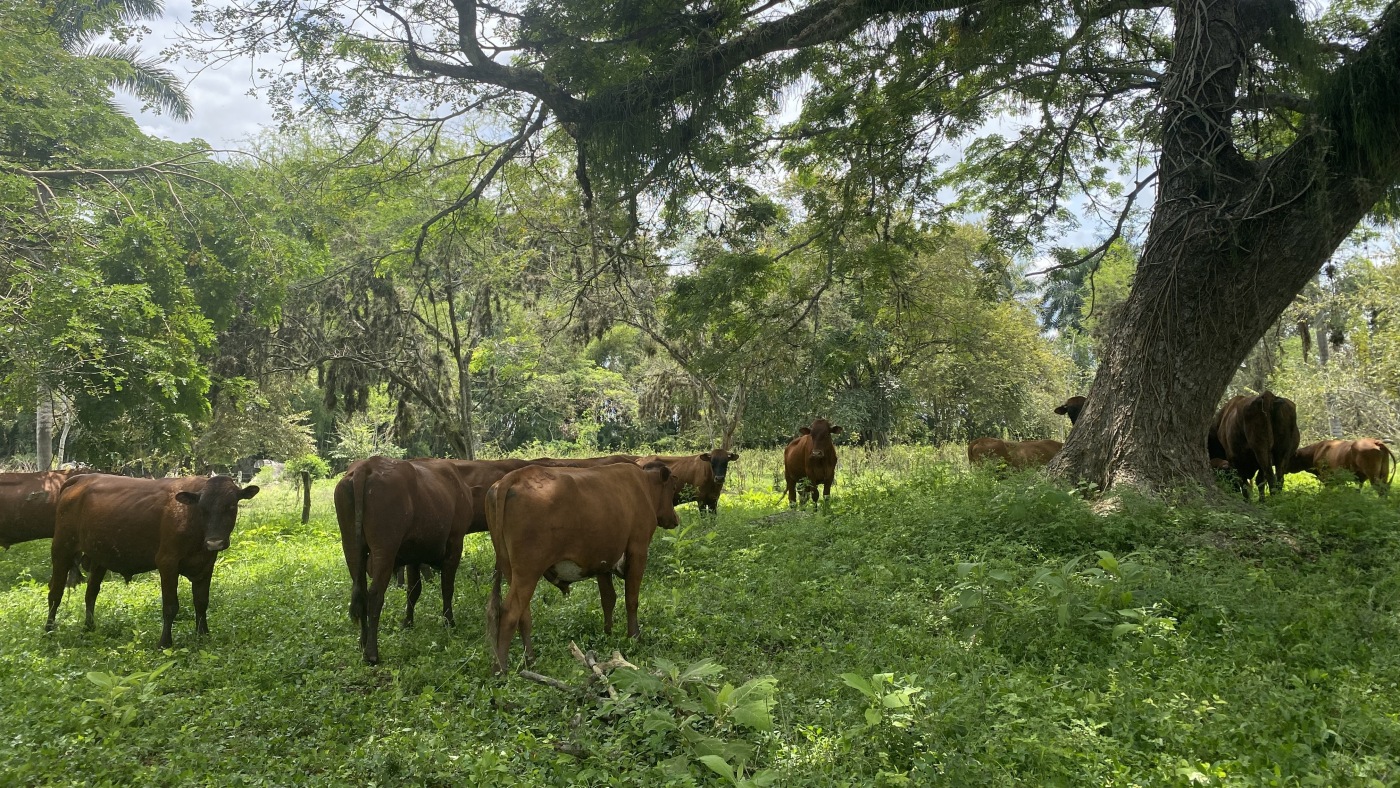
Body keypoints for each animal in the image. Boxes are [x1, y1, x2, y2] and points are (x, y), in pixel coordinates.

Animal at [45, 474, 259, 648]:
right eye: (203, 509)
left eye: (231, 506)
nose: (215, 542)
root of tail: (81, 479)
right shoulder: (167, 562)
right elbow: (170, 606)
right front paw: (164, 643)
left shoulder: (206, 565)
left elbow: (201, 602)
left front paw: (203, 635)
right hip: (62, 548)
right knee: (55, 593)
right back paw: (49, 630)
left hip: (99, 556)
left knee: (91, 593)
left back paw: (89, 628)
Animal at [336, 457, 474, 665]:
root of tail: (367, 466)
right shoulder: (455, 544)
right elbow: (447, 587)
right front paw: (449, 622)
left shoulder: (414, 556)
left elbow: (413, 591)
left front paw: (407, 623)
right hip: (385, 550)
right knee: (375, 595)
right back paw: (372, 653)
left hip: (351, 547)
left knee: (361, 592)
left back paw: (363, 642)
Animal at [485, 462, 679, 674]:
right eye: (671, 490)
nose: (675, 519)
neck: (643, 485)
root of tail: (514, 476)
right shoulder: (638, 549)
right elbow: (631, 599)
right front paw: (634, 637)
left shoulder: (603, 561)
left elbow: (608, 599)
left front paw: (608, 633)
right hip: (528, 571)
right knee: (510, 612)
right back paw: (502, 669)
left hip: (510, 569)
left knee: (523, 614)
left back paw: (530, 660)